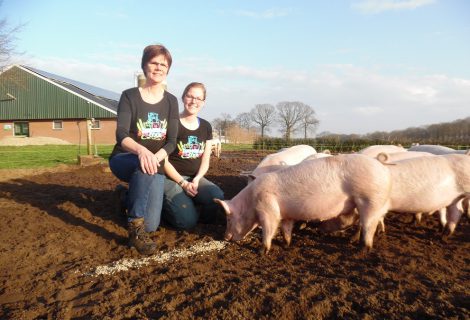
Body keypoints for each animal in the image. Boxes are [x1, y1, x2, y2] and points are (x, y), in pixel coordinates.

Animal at [215, 154, 392, 254]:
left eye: (228, 218)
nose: (224, 237)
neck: (251, 201)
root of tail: (384, 171)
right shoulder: (285, 215)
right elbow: (286, 229)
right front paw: (286, 245)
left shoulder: (268, 210)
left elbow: (269, 230)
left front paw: (261, 251)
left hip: (370, 200)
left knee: (368, 226)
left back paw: (361, 250)